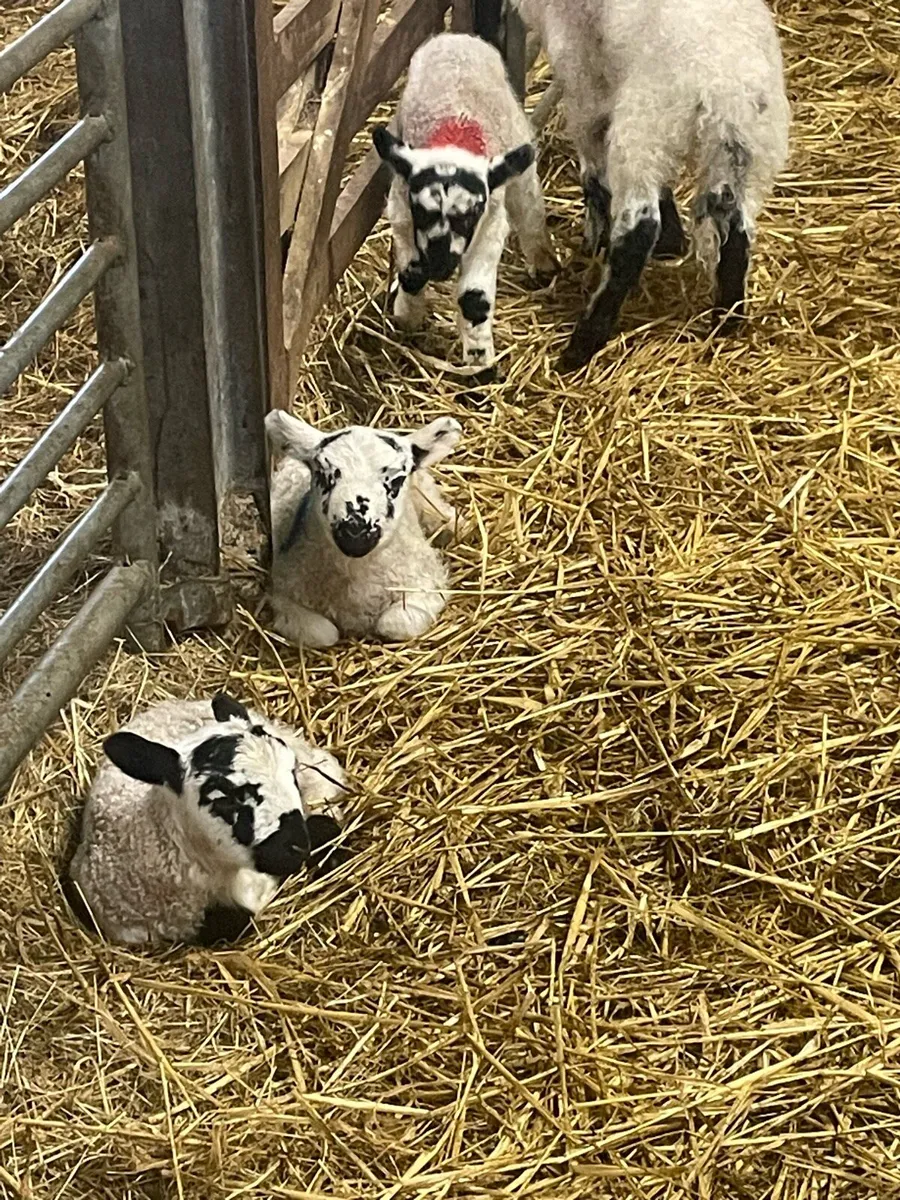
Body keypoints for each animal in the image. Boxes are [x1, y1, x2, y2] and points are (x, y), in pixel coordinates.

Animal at [265, 409, 461, 649]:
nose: (355, 533)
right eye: (322, 474)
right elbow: (326, 633)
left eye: (397, 480)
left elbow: (392, 623)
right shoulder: (282, 595)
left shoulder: (428, 585)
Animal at [372, 31, 559, 369]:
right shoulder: (401, 210)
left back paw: (543, 262)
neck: (455, 136)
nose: (441, 265)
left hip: (519, 150)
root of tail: (458, 37)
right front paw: (407, 316)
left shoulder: (490, 226)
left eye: (471, 215)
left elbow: (474, 299)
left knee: (529, 208)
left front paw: (479, 364)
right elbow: (412, 273)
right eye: (422, 211)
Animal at [512, 0, 790, 372]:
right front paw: (670, 243)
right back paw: (727, 321)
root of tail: (723, 90)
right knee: (735, 230)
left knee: (639, 229)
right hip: (746, 154)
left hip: (645, 128)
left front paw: (594, 241)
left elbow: (592, 164)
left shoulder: (579, 68)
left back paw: (582, 344)